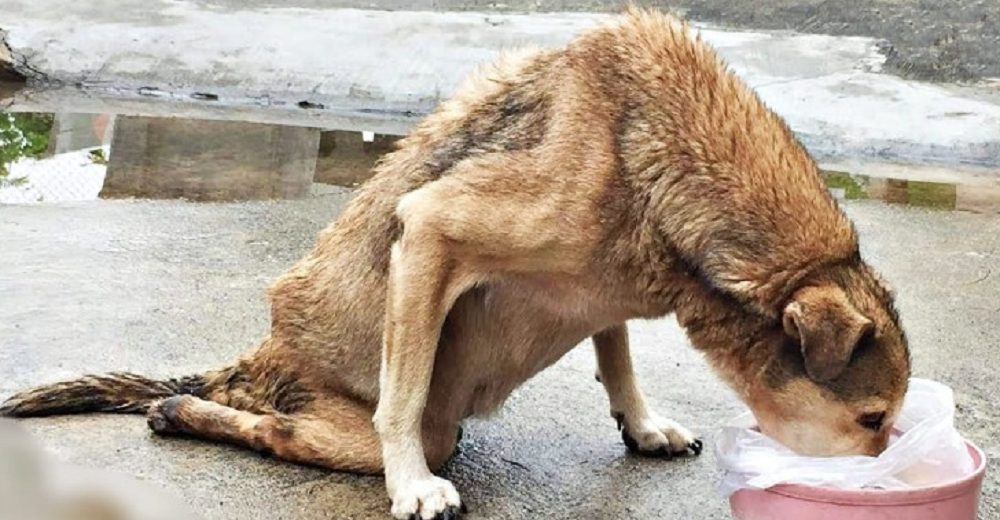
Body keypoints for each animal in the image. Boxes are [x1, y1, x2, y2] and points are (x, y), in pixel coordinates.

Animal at [0, 9, 912, 520]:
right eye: (872, 419)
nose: (888, 480)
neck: (651, 153)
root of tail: (259, 359)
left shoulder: (606, 291)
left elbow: (616, 355)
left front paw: (642, 424)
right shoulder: (431, 231)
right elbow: (401, 402)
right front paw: (410, 487)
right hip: (376, 409)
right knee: (286, 430)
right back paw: (188, 412)